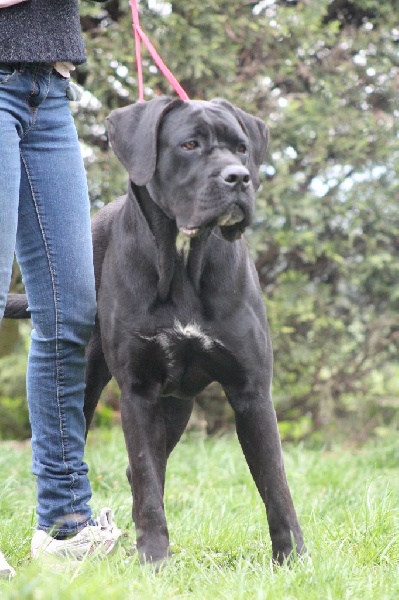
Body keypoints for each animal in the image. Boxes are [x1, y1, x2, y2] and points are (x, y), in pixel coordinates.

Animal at [4, 97, 304, 568]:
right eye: (189, 144)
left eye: (241, 148)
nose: (238, 177)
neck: (183, 257)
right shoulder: (138, 391)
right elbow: (147, 481)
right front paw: (154, 560)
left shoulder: (251, 391)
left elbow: (276, 485)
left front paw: (293, 560)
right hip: (85, 383)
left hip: (177, 405)